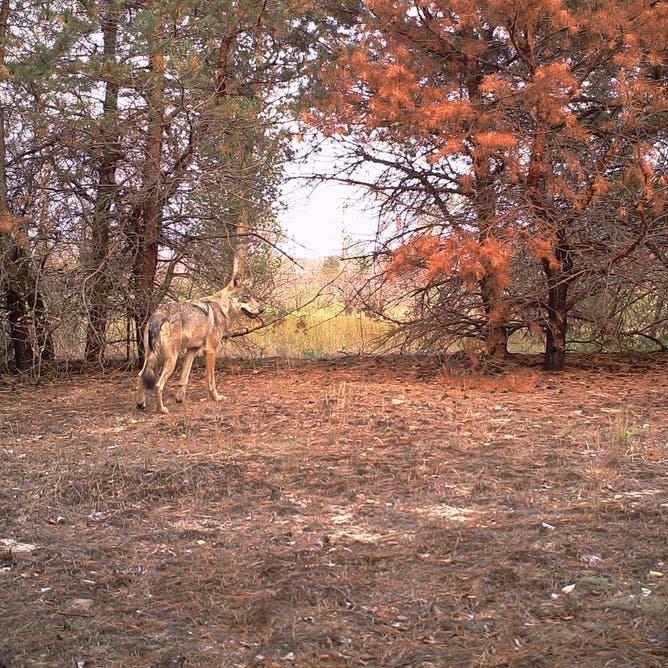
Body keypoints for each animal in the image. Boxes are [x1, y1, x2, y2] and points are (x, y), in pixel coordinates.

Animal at [135, 277, 263, 414]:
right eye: (246, 297)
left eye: (252, 296)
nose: (262, 309)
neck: (222, 308)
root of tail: (157, 316)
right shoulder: (210, 350)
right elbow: (211, 380)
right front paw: (216, 398)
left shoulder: (192, 350)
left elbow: (184, 378)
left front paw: (180, 399)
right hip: (170, 360)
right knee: (158, 385)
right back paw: (161, 409)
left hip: (153, 358)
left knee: (141, 375)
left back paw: (140, 404)